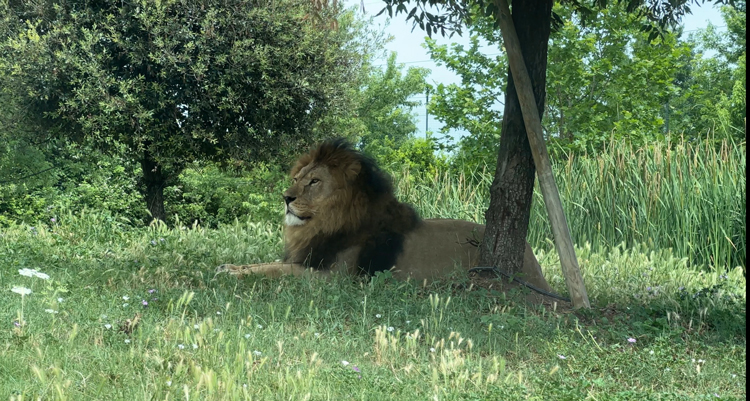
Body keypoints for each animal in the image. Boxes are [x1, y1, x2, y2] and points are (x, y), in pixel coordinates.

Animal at [217, 139, 552, 290]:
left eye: (314, 182)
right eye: (298, 178)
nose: (286, 198)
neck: (325, 224)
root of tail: (532, 256)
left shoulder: (333, 276)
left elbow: (275, 270)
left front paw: (234, 274)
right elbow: (265, 263)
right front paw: (229, 266)